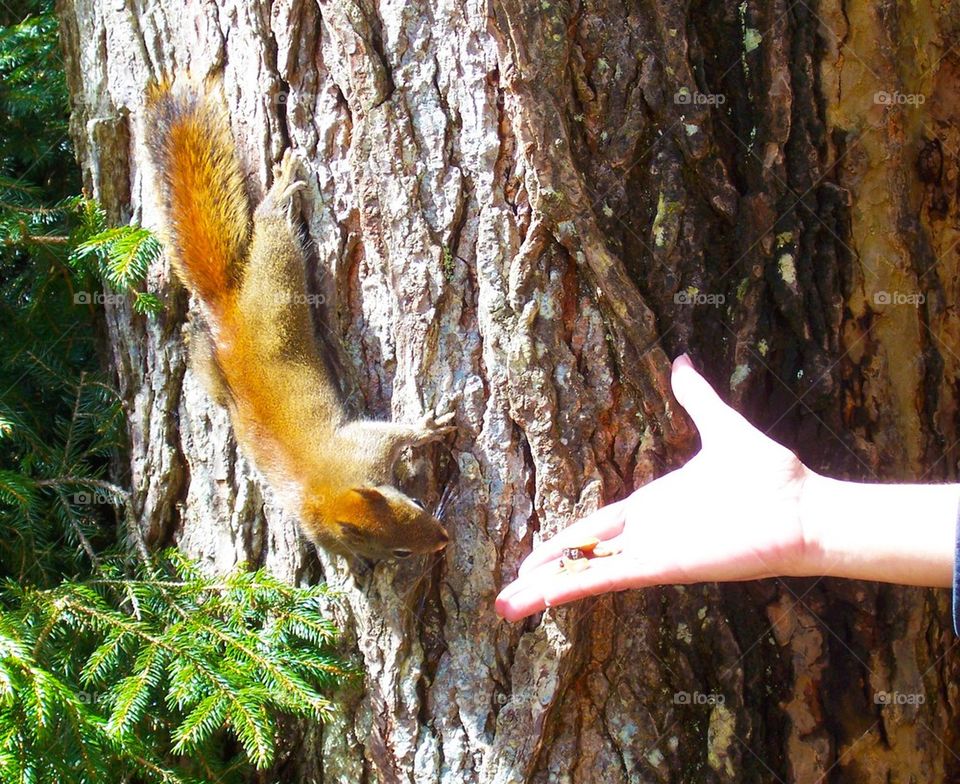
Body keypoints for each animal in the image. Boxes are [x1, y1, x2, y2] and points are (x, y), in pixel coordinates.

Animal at [143, 78, 455, 561]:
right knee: (272, 227)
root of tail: (226, 308)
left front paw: (426, 426)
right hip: (278, 282)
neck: (323, 490)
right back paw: (280, 194)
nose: (443, 540)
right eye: (399, 550)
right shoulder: (362, 451)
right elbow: (391, 435)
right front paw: (427, 427)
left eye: (415, 503)